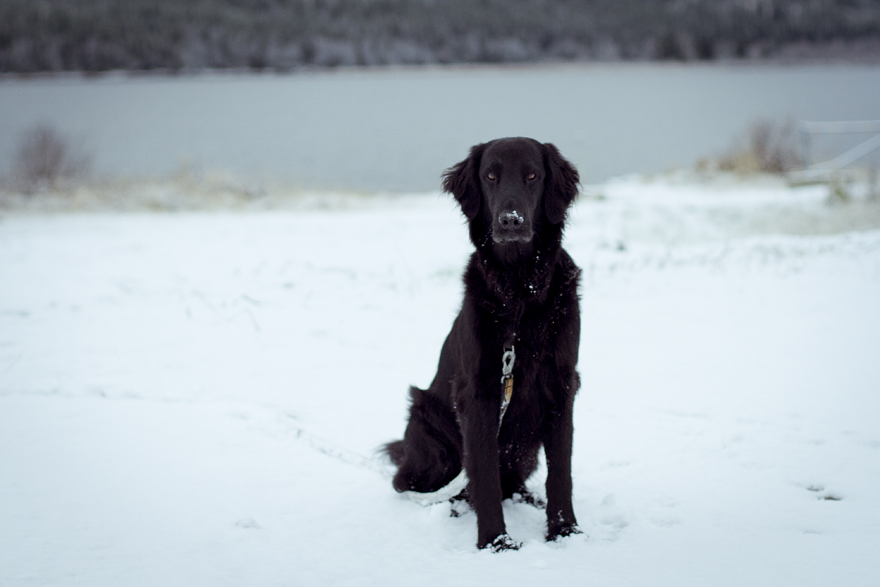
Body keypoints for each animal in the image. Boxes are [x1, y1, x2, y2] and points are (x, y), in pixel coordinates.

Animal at [386, 137, 584, 552]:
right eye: (491, 176)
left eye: (533, 176)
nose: (511, 221)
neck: (520, 290)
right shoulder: (479, 391)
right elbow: (486, 473)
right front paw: (496, 542)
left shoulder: (562, 384)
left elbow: (562, 472)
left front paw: (565, 531)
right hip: (431, 433)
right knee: (413, 483)